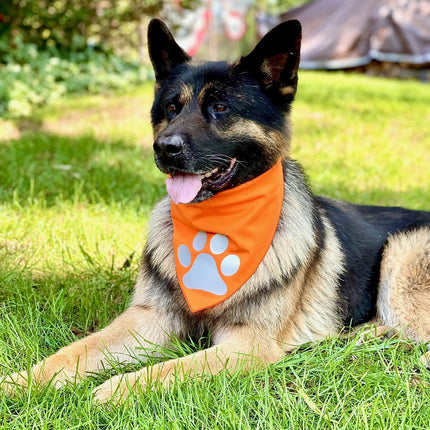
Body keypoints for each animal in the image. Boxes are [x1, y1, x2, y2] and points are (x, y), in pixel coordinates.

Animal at [3, 19, 430, 404]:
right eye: (171, 108)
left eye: (220, 107)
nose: (164, 148)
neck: (218, 225)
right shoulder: (148, 319)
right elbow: (77, 350)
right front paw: (24, 382)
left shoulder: (248, 344)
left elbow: (171, 368)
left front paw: (118, 388)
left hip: (402, 256)